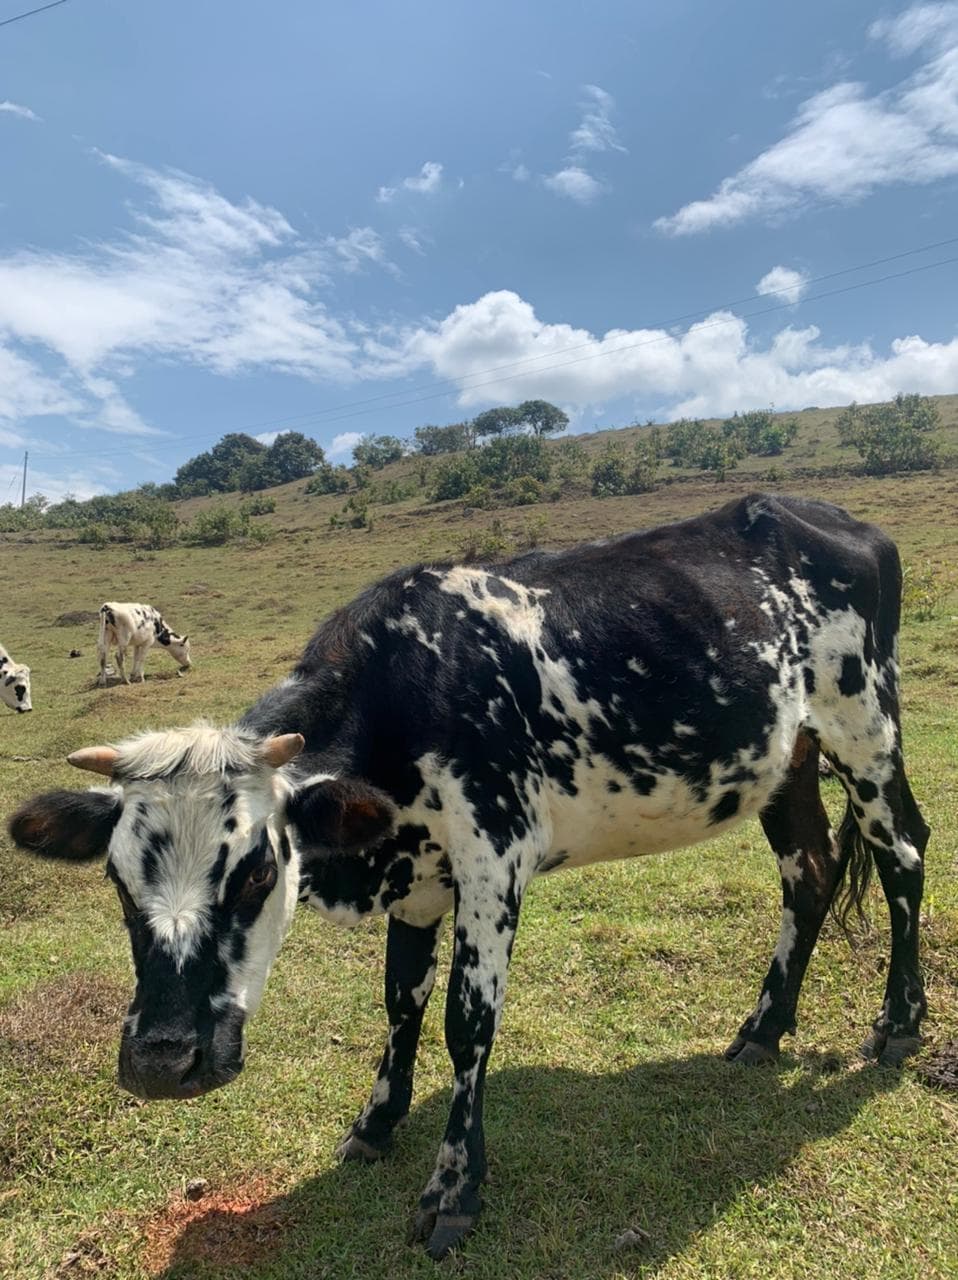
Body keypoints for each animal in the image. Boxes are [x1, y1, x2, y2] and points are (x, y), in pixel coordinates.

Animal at [9, 495, 929, 1259]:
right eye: (118, 880)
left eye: (259, 868)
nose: (162, 1062)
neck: (410, 682)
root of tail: (832, 517)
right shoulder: (419, 872)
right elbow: (399, 1002)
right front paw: (376, 1122)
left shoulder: (495, 855)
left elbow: (465, 1021)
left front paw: (454, 1187)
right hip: (786, 758)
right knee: (809, 870)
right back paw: (763, 1029)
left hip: (865, 728)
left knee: (904, 856)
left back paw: (899, 1023)